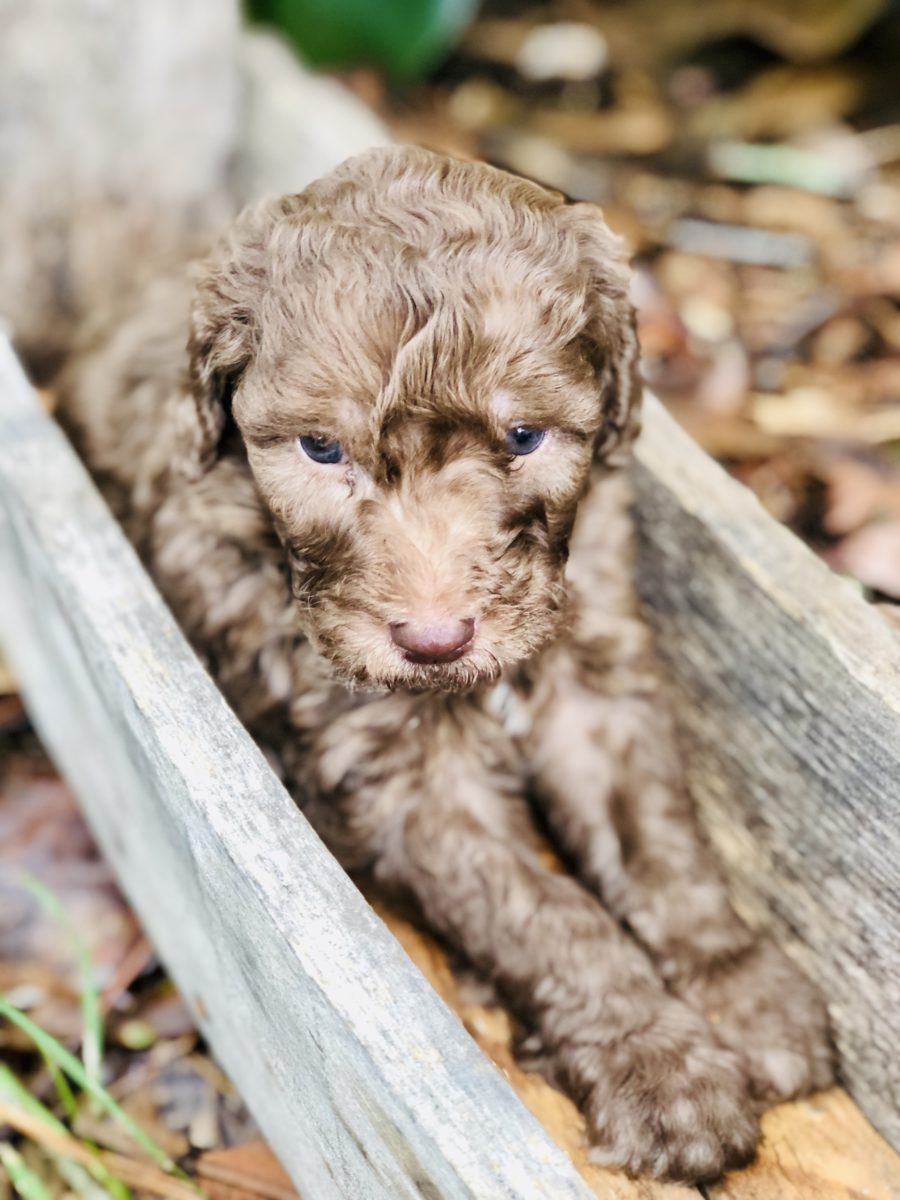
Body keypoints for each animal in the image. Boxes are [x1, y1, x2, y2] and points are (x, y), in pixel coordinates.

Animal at [60, 142, 835, 1180]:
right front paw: (661, 1067)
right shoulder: (405, 775)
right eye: (321, 448)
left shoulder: (598, 679)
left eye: (524, 437)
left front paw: (741, 990)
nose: (434, 640)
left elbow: (658, 838)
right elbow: (545, 916)